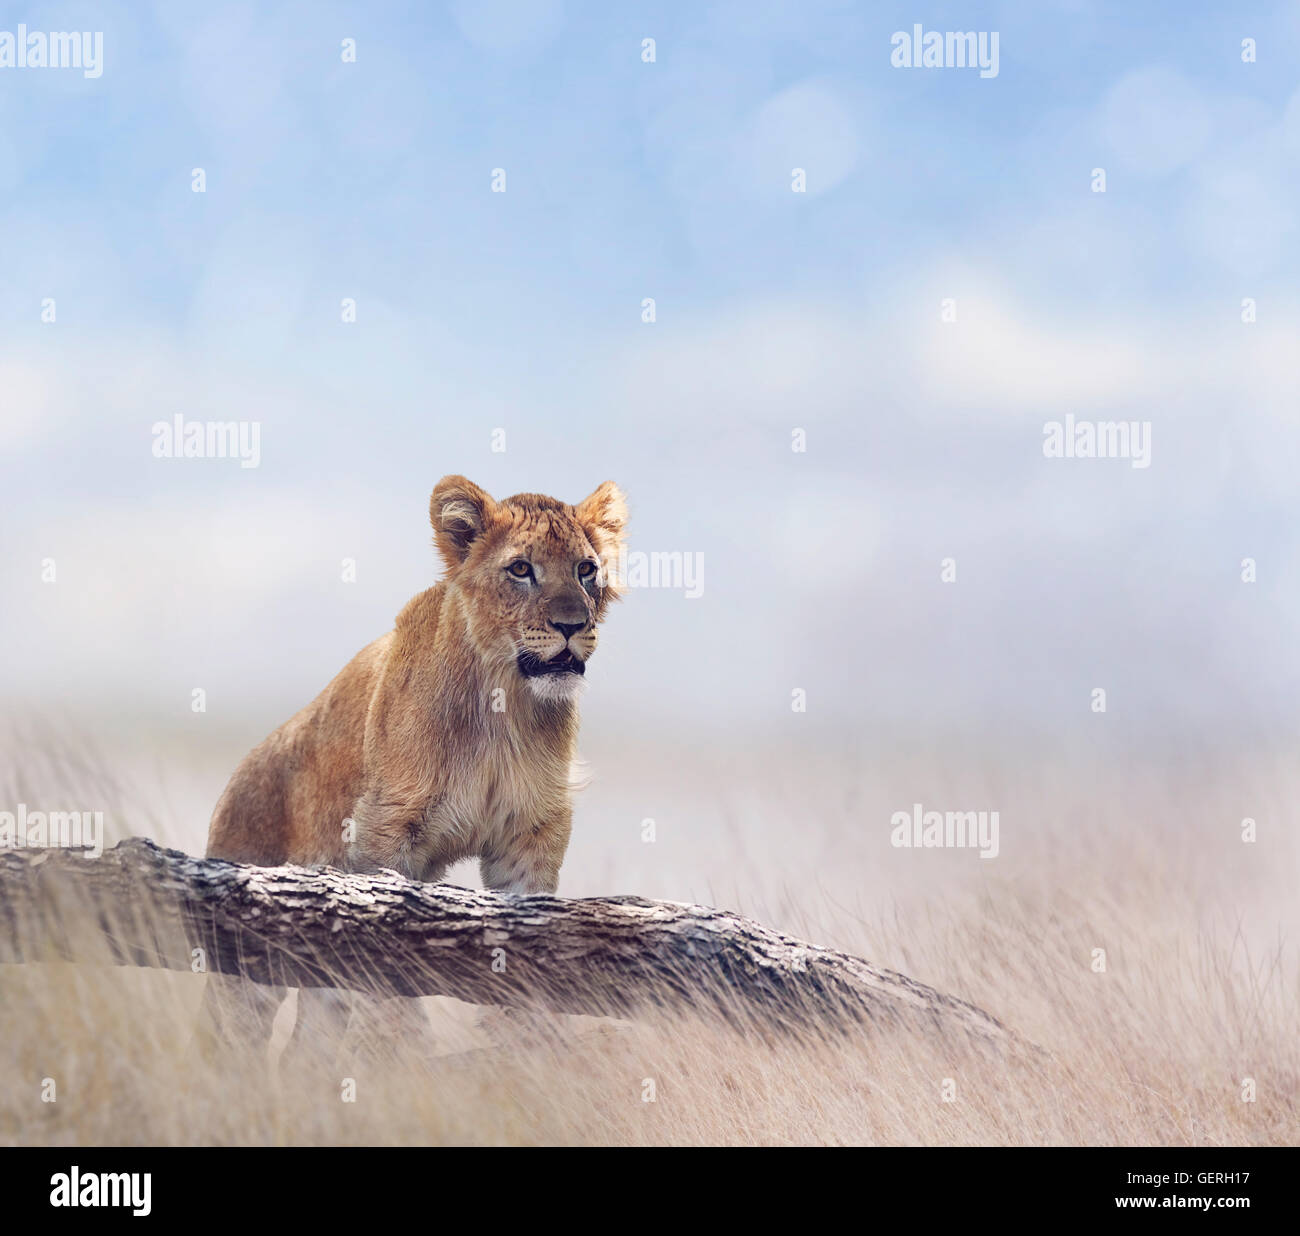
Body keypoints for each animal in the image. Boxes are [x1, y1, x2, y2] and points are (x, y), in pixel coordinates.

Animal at [197, 475, 626, 1056]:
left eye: (586, 570)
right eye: (521, 569)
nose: (571, 625)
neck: (503, 706)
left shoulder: (530, 834)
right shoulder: (385, 830)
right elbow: (390, 962)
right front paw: (401, 1040)